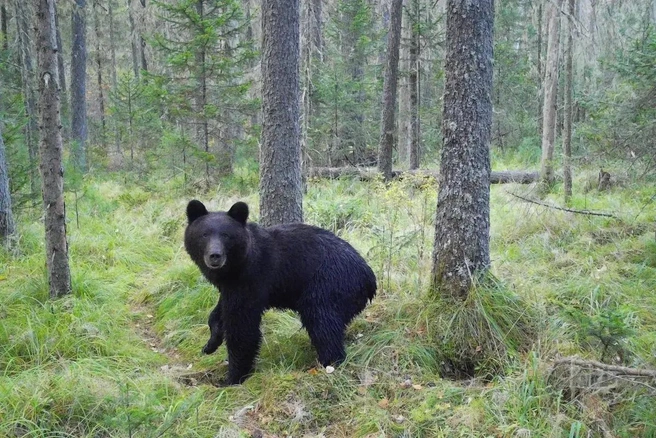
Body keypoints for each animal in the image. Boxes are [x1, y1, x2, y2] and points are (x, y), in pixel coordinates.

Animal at [184, 200, 377, 385]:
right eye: (204, 234)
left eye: (226, 235)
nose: (215, 256)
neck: (235, 268)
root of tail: (369, 278)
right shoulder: (231, 286)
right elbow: (220, 311)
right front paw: (210, 344)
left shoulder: (253, 279)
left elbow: (242, 326)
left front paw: (233, 378)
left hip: (328, 285)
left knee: (322, 322)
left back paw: (328, 364)